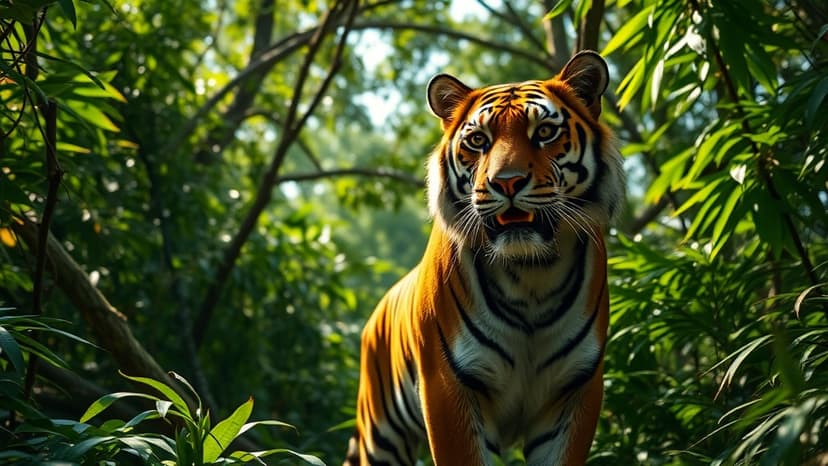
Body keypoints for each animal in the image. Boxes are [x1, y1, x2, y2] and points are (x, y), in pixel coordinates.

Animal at [343, 51, 625, 466]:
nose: (506, 182)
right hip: (380, 437)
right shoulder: (449, 385)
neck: (531, 275)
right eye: (478, 140)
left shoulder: (576, 388)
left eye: (544, 132)